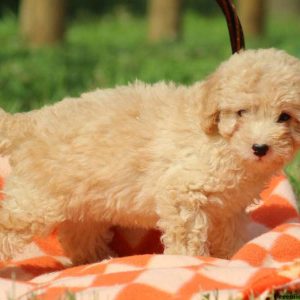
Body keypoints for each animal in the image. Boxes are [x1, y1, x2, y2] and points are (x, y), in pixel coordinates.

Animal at [0, 48, 300, 264]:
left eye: (284, 117)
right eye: (241, 112)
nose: (260, 148)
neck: (221, 141)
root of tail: (29, 121)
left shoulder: (230, 208)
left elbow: (231, 234)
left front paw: (233, 258)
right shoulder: (182, 193)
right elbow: (187, 236)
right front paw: (190, 262)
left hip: (82, 204)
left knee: (78, 236)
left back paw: (100, 260)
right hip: (35, 203)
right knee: (8, 223)